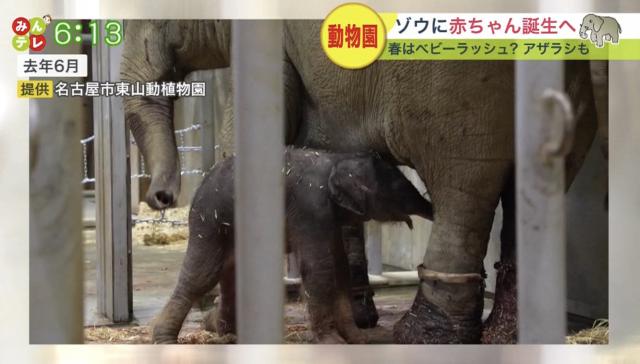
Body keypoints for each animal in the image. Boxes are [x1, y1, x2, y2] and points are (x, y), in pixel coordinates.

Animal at [152, 148, 432, 344]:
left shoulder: (327, 217)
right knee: (203, 275)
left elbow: (339, 268)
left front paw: (357, 340)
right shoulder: (311, 207)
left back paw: (231, 337)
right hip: (210, 220)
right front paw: (331, 342)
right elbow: (319, 268)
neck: (336, 159)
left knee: (230, 276)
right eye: (398, 190)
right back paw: (165, 340)